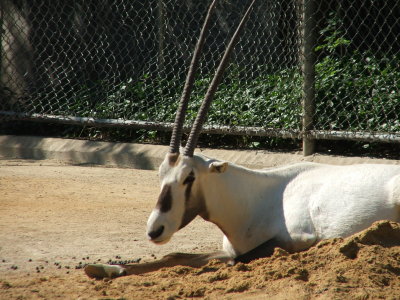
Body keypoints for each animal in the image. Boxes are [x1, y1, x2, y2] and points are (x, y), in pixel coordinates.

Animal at [83, 1, 398, 280]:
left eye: (189, 177)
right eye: (161, 174)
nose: (155, 230)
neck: (254, 199)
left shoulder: (296, 240)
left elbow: (238, 260)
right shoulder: (225, 249)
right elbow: (176, 256)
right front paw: (105, 268)